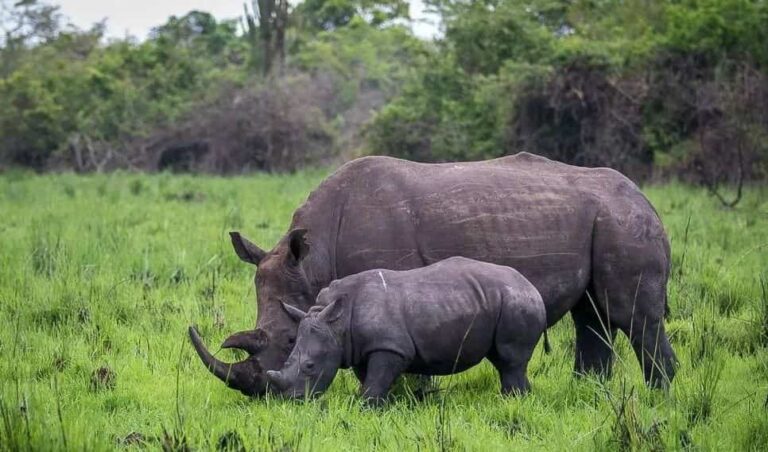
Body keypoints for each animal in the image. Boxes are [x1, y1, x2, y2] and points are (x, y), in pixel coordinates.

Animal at [266, 257, 547, 403]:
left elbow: (376, 380)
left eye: (310, 366)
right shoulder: (361, 347)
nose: (291, 400)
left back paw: (510, 401)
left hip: (516, 301)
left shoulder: (390, 347)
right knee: (503, 360)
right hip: (504, 300)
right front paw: (378, 404)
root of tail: (530, 285)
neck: (337, 324)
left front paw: (366, 407)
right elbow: (370, 379)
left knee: (510, 360)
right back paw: (519, 399)